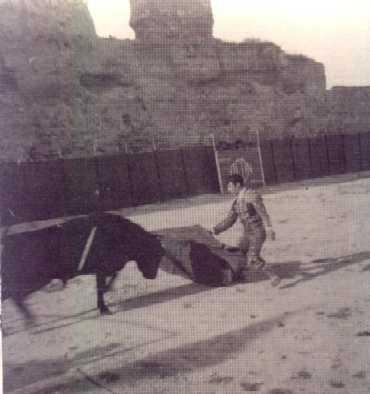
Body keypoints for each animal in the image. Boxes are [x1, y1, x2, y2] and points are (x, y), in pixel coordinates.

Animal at [0, 212, 165, 320]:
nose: (152, 276)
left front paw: (105, 298)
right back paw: (29, 321)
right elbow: (101, 287)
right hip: (33, 280)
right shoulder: (101, 269)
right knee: (13, 295)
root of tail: (9, 241)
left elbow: (110, 279)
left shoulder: (106, 269)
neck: (121, 236)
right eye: (154, 255)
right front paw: (104, 308)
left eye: (160, 256)